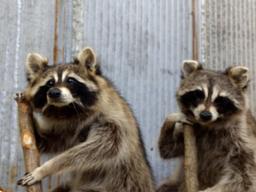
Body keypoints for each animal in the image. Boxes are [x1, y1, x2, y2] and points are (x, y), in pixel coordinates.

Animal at [17, 47, 156, 192]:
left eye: (70, 80)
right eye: (50, 83)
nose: (54, 92)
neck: (67, 109)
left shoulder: (112, 123)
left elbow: (97, 149)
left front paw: (46, 168)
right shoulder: (66, 129)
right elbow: (48, 142)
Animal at [157, 60, 256, 192]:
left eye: (220, 100)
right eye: (198, 95)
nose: (205, 115)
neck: (209, 124)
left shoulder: (243, 137)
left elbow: (244, 177)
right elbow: (167, 149)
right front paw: (171, 118)